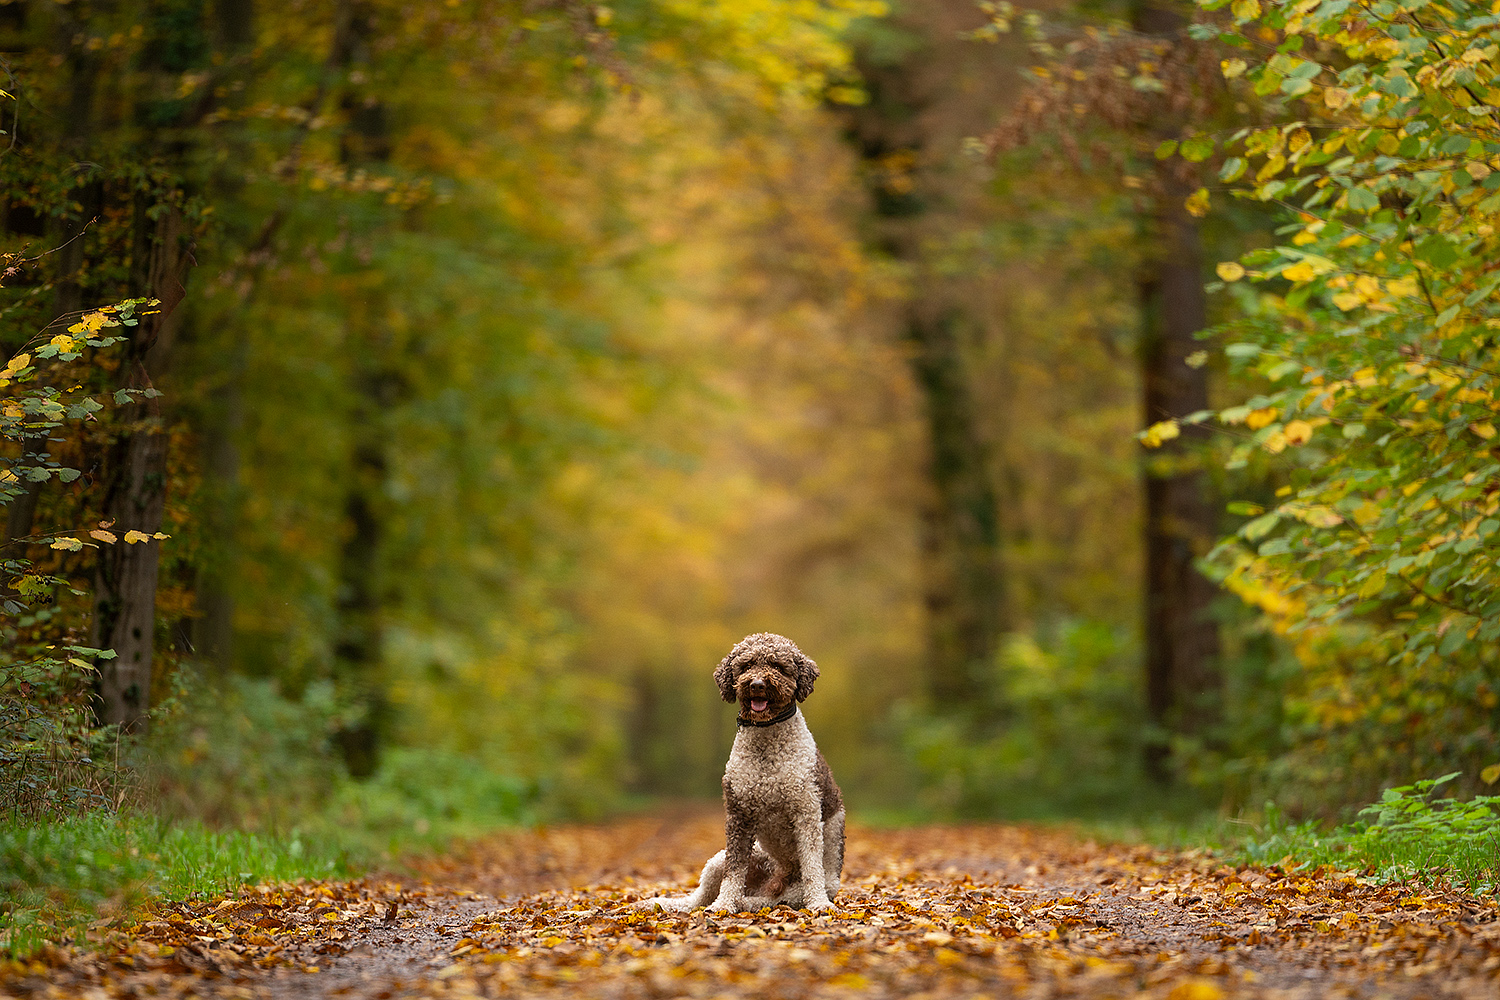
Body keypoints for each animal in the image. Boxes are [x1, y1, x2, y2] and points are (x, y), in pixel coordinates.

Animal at [642, 632, 846, 917]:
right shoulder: (739, 814)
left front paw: (818, 904)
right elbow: (734, 870)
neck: (766, 744)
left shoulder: (806, 812)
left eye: (778, 666)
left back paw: (747, 902)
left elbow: (811, 865)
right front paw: (723, 905)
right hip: (718, 861)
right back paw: (671, 903)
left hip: (797, 891)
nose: (757, 684)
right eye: (746, 665)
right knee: (698, 898)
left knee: (770, 899)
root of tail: (776, 878)